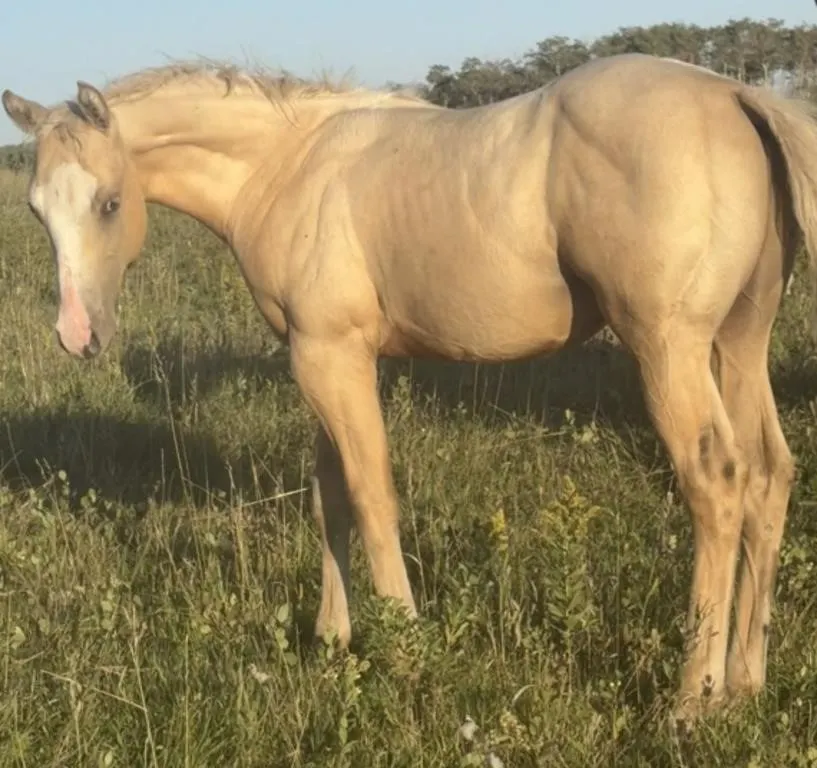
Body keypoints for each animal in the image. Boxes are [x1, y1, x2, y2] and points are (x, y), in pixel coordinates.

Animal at [4, 52, 817, 727]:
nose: (78, 335)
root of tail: (736, 94)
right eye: (37, 208)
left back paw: (692, 698)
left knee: (717, 481)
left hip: (668, 348)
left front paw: (404, 645)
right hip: (737, 344)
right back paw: (744, 682)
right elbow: (329, 494)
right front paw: (333, 637)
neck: (290, 166)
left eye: (110, 202)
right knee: (768, 476)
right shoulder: (318, 356)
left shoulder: (332, 357)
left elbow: (371, 494)